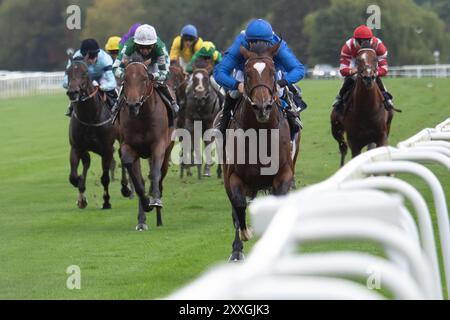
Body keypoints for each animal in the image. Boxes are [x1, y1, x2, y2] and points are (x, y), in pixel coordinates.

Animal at [66, 60, 118, 210]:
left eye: (84, 73)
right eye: (68, 72)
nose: (73, 92)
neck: (89, 117)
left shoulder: (106, 148)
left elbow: (105, 178)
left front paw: (106, 202)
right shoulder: (77, 147)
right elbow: (73, 176)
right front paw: (81, 195)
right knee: (87, 162)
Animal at [118, 58, 174, 231]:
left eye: (144, 78)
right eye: (125, 79)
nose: (133, 105)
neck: (142, 118)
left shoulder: (158, 145)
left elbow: (155, 174)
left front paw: (155, 200)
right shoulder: (129, 147)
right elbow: (137, 180)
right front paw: (145, 205)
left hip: (167, 150)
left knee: (160, 176)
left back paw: (159, 217)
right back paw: (142, 220)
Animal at [222, 42, 298, 262]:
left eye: (273, 72)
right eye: (247, 74)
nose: (262, 107)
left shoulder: (284, 174)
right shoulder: (234, 176)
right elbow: (239, 206)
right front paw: (243, 238)